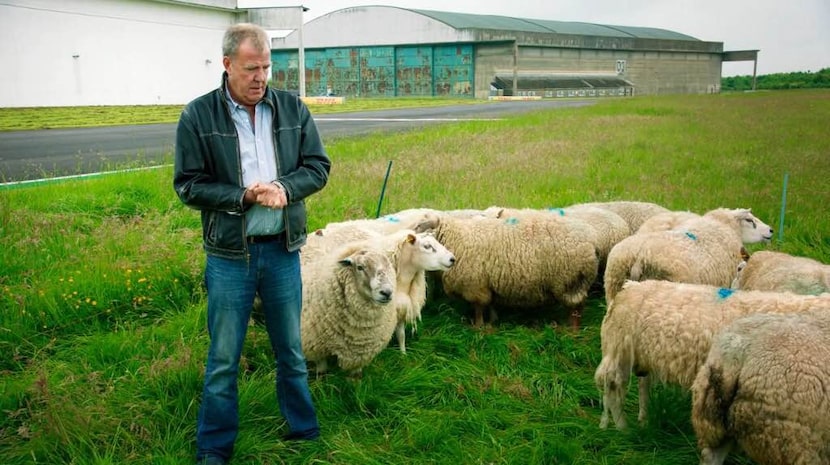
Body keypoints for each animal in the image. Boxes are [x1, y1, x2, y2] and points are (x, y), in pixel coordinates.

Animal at [302, 239, 400, 376]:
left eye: (387, 266)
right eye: (360, 267)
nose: (386, 292)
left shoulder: (360, 352)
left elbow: (355, 375)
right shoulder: (314, 346)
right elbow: (322, 368)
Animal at [414, 212, 600, 328]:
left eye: (419, 226)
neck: (456, 238)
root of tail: (590, 242)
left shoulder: (475, 286)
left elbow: (478, 309)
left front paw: (478, 327)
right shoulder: (487, 283)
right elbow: (490, 304)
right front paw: (493, 320)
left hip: (571, 282)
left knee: (576, 309)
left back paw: (571, 330)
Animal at [596, 280, 828, 428]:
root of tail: (629, 287)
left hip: (643, 358)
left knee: (642, 385)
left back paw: (643, 420)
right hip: (619, 351)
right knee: (613, 389)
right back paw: (622, 428)